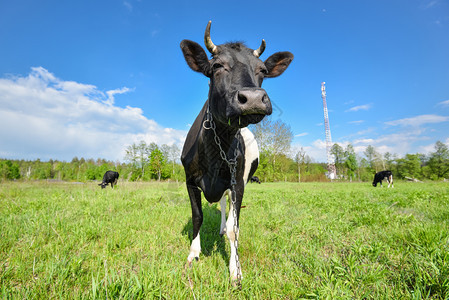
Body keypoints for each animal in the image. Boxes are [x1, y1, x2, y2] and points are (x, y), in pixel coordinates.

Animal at [180, 20, 292, 282]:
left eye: (262, 70)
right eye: (216, 66)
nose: (253, 98)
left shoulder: (237, 183)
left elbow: (235, 227)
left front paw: (235, 269)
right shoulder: (190, 180)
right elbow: (197, 217)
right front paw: (193, 254)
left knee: (229, 211)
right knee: (221, 205)